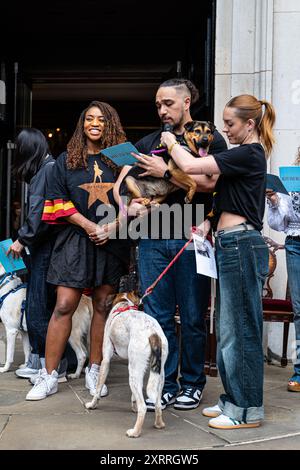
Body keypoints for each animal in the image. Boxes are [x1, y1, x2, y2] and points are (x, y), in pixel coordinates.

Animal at [85, 292, 169, 438]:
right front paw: (133, 406)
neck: (124, 304)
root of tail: (153, 333)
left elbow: (98, 388)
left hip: (133, 374)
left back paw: (135, 432)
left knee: (143, 407)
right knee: (158, 403)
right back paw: (159, 424)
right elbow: (134, 396)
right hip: (158, 375)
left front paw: (92, 404)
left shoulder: (105, 360)